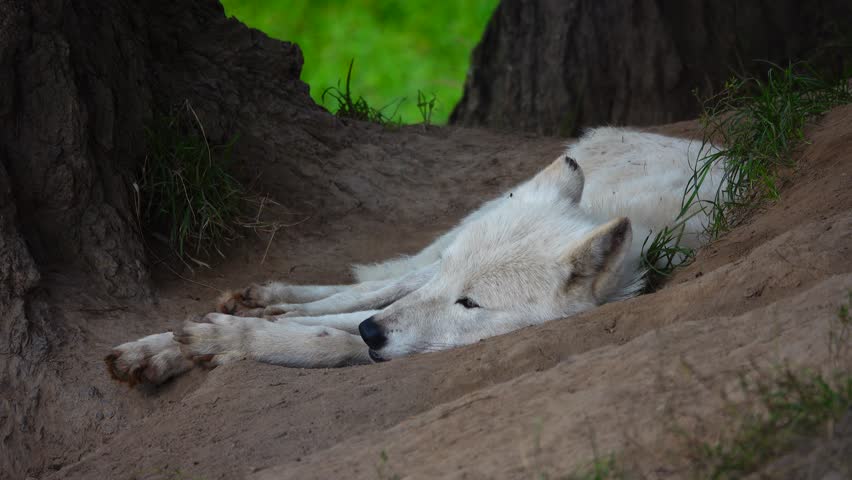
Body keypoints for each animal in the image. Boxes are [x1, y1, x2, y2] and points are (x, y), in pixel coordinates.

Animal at [106, 127, 722, 386]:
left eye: (470, 304)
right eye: (456, 287)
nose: (375, 334)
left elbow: (330, 340)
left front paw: (225, 343)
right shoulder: (424, 282)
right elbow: (343, 316)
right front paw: (201, 337)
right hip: (449, 239)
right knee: (374, 284)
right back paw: (255, 304)